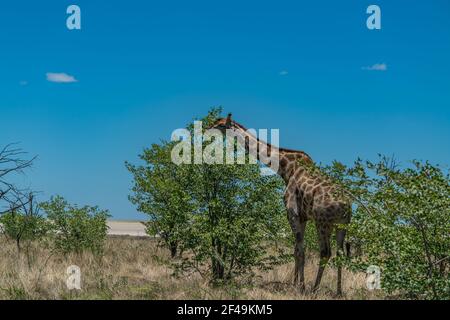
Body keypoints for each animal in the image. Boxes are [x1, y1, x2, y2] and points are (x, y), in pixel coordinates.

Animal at [211, 114, 352, 296]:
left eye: (221, 124)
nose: (207, 128)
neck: (285, 168)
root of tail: (346, 206)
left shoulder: (292, 212)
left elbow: (301, 250)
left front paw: (300, 287)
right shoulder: (303, 217)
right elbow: (295, 250)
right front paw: (295, 283)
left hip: (322, 222)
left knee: (325, 252)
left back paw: (314, 288)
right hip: (342, 224)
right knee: (339, 253)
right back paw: (338, 291)